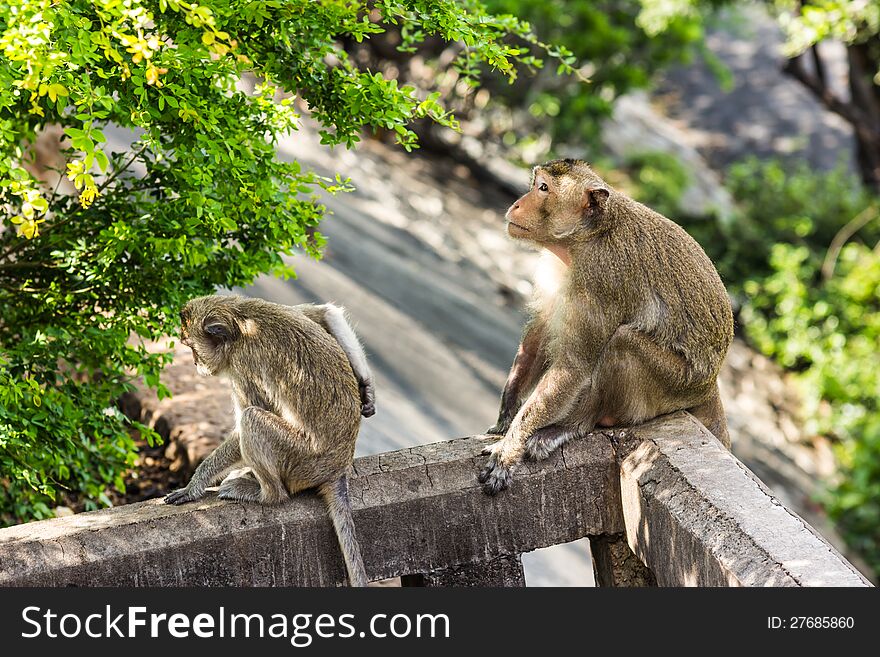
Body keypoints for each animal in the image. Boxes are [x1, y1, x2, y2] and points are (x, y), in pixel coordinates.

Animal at [167, 294, 372, 588]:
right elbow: (323, 313)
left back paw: (267, 494)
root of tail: (338, 468)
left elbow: (249, 414)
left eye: (190, 346)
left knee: (252, 419)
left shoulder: (243, 366)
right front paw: (367, 388)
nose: (195, 363)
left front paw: (194, 485)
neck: (240, 321)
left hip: (301, 458)